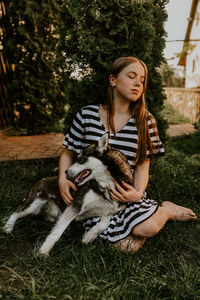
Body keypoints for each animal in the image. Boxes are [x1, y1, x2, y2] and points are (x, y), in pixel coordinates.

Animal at [3, 135, 134, 256]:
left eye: (81, 159)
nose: (65, 172)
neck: (106, 184)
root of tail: (39, 181)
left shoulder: (112, 210)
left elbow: (104, 225)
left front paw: (89, 236)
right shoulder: (75, 205)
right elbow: (57, 232)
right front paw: (44, 251)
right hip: (34, 203)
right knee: (15, 213)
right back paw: (8, 227)